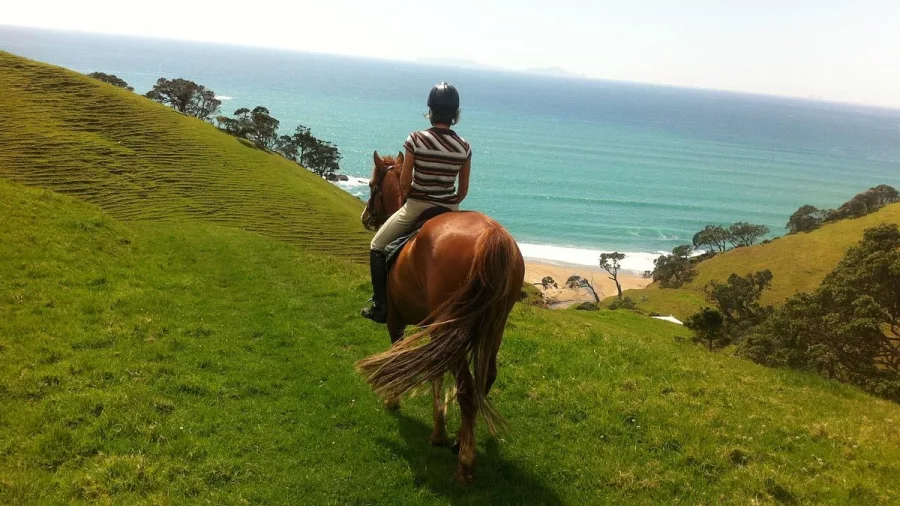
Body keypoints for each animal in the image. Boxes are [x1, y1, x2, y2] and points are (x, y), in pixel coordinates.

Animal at [356, 151, 525, 485]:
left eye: (371, 185)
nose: (367, 218)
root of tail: (492, 235)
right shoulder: (435, 331)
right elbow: (436, 372)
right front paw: (439, 432)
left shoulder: (397, 320)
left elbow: (399, 353)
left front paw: (393, 398)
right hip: (493, 326)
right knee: (485, 379)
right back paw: (461, 439)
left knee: (467, 389)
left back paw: (465, 463)